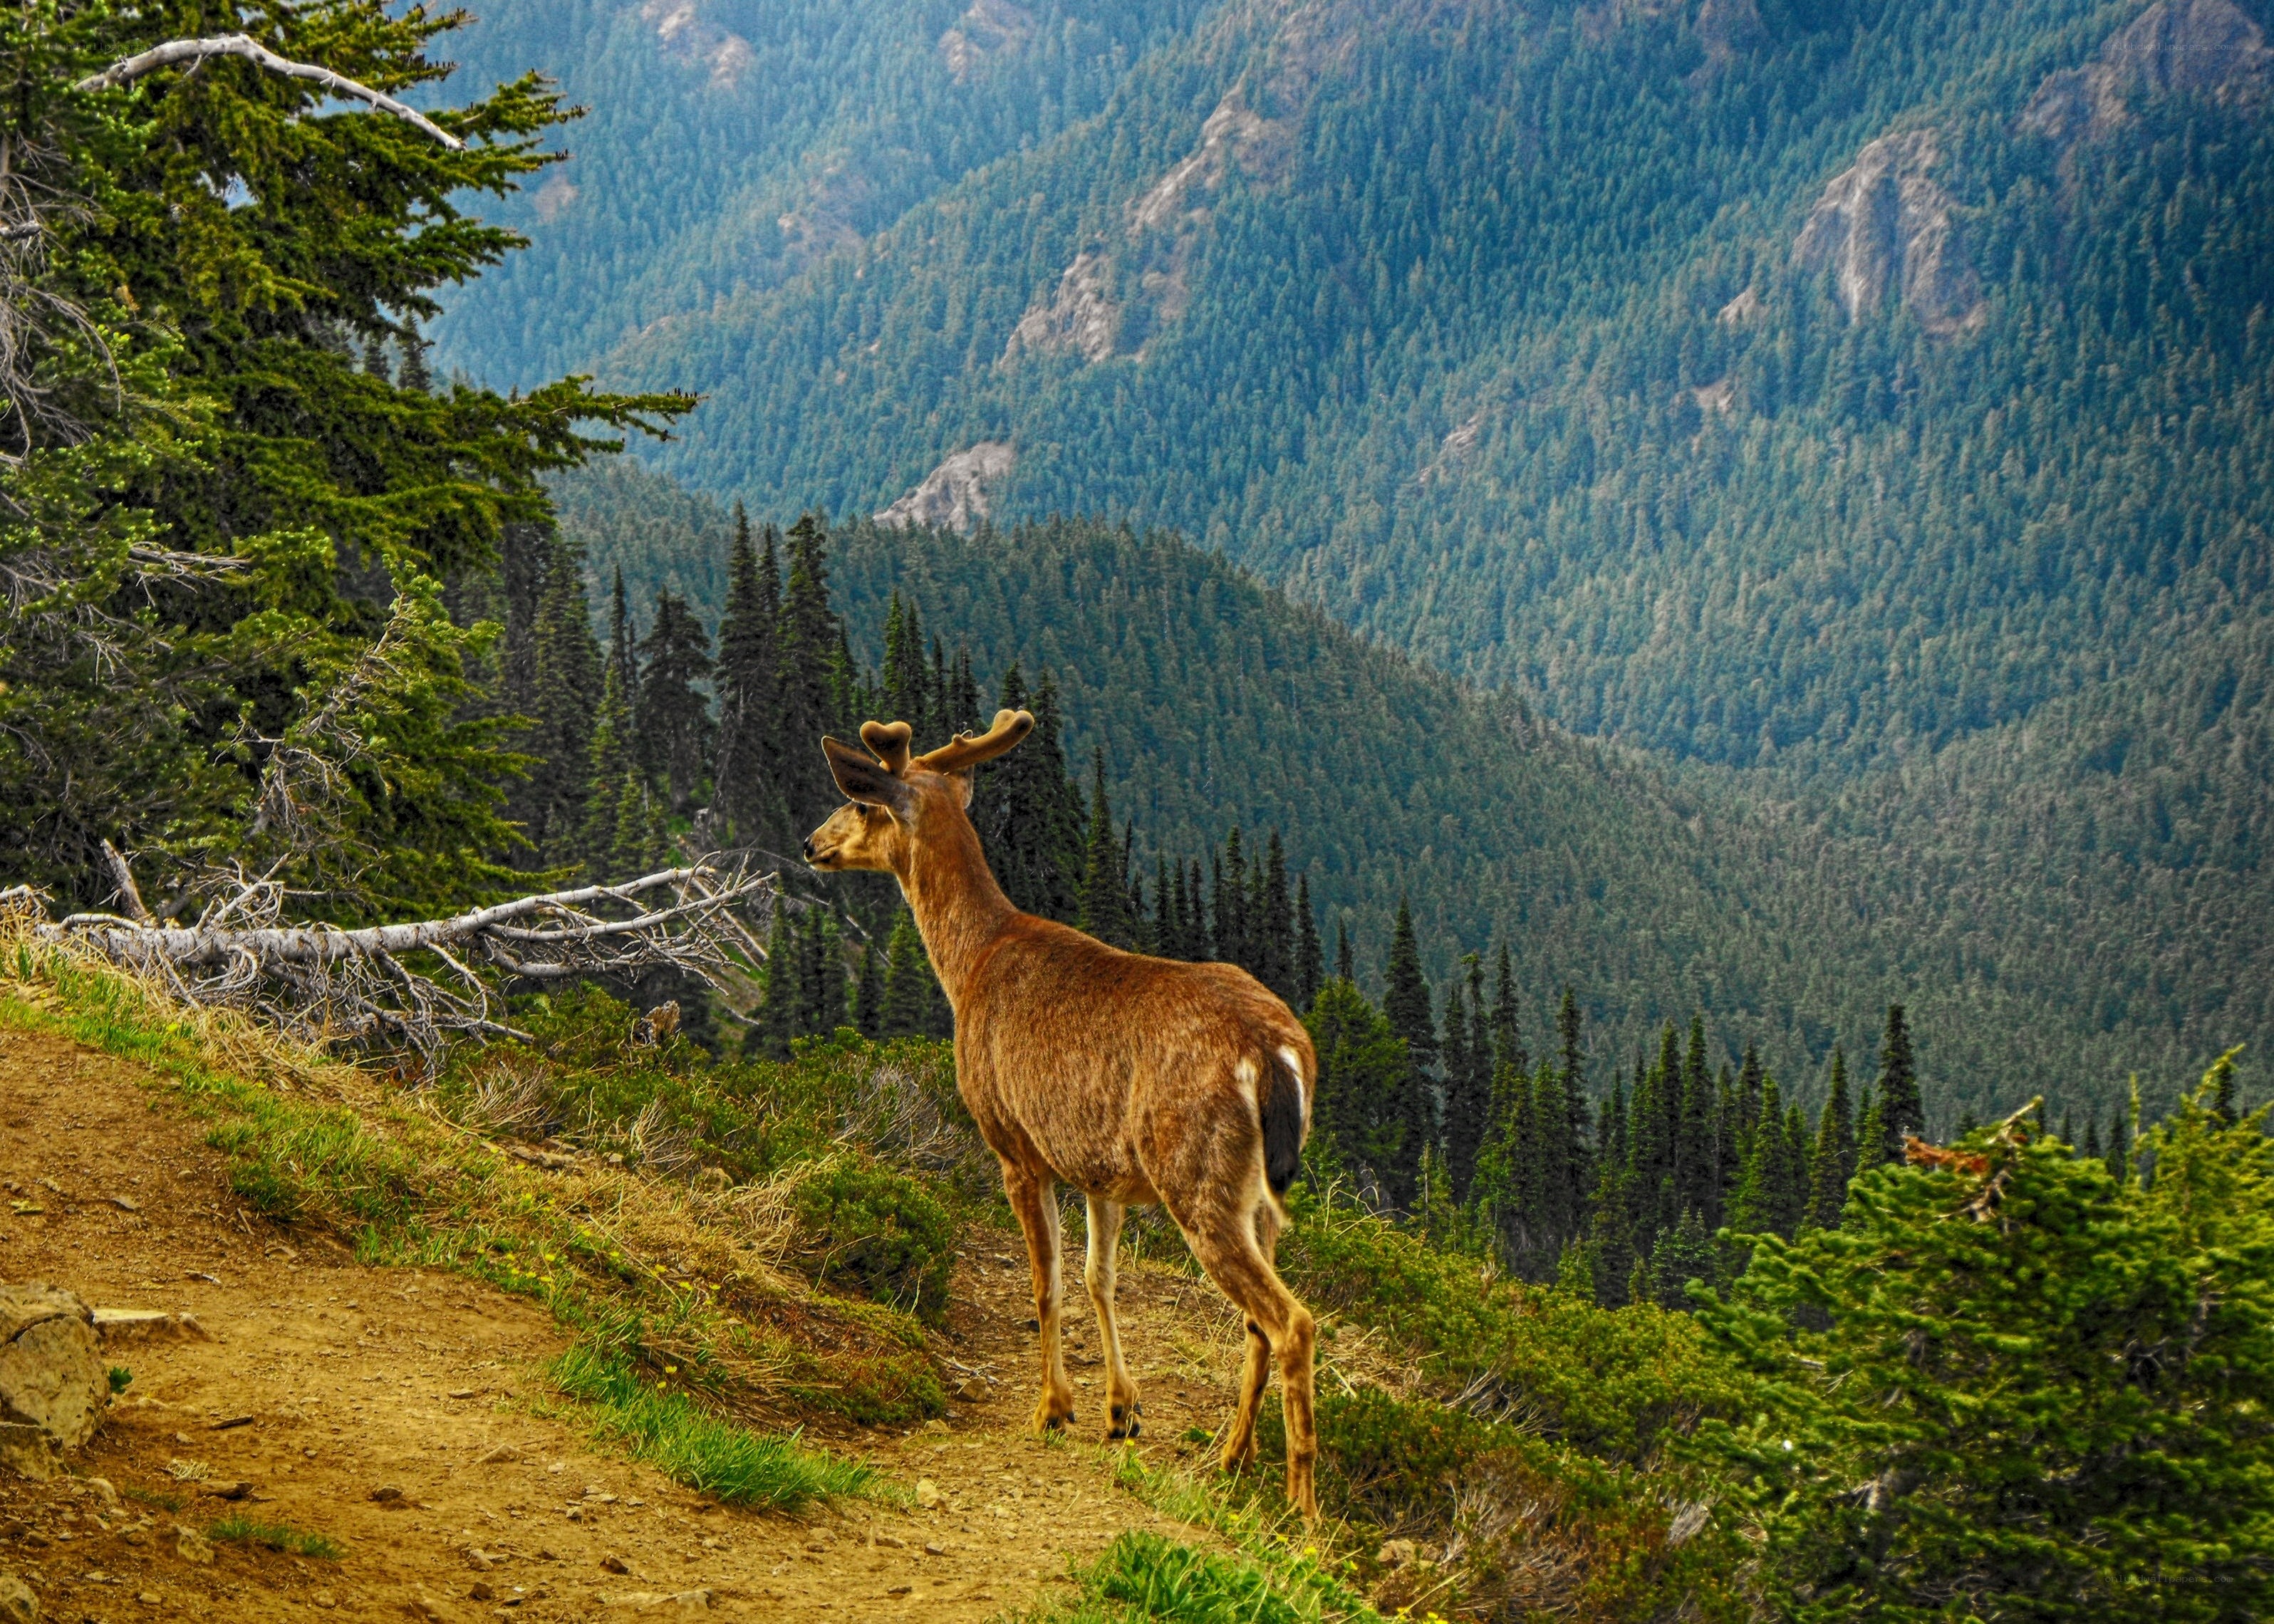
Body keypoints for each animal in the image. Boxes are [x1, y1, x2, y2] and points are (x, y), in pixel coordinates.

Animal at [801, 709, 1320, 1519]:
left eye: (858, 804)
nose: (811, 844)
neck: (970, 964)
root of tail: (1275, 1050)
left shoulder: (1014, 1143)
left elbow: (1045, 1283)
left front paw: (1053, 1407)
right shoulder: (1100, 1170)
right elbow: (1097, 1277)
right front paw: (1121, 1410)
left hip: (1193, 1168)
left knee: (1291, 1321)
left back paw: (1300, 1510)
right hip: (1255, 1189)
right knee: (1257, 1324)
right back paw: (1229, 1460)